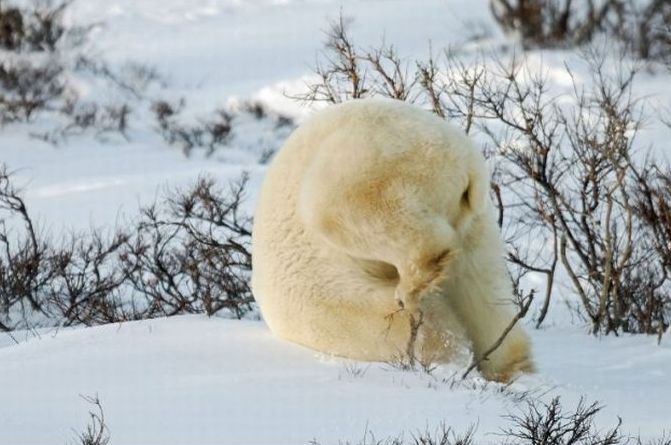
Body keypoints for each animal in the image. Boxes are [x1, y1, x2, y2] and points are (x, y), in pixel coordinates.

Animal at [252, 98, 536, 382]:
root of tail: (465, 162)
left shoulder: (336, 303)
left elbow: (421, 329)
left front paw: (445, 352)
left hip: (368, 164)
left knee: (349, 209)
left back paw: (412, 285)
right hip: (475, 222)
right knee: (484, 292)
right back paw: (511, 366)